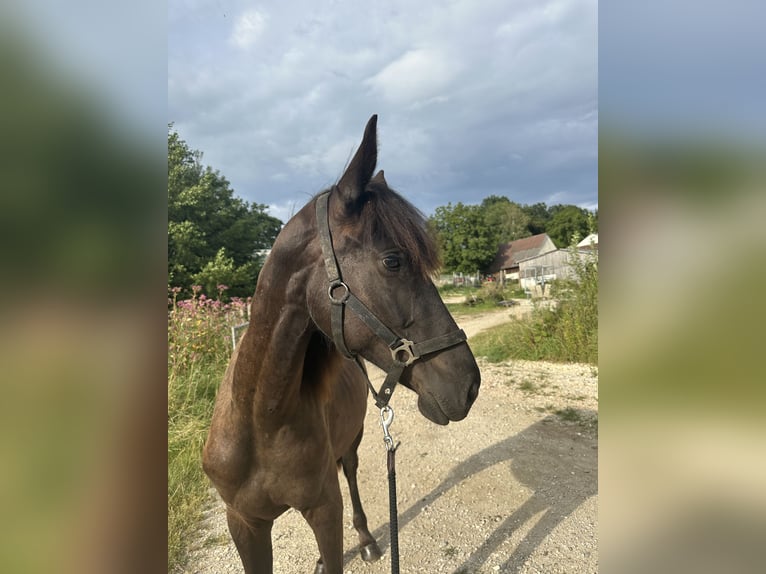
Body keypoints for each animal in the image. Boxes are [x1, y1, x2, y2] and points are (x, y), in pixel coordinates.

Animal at [202, 115, 480, 572]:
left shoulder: (325, 512)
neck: (261, 423)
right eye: (392, 261)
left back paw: (366, 539)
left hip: (353, 444)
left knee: (349, 474)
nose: (470, 385)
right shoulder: (244, 522)